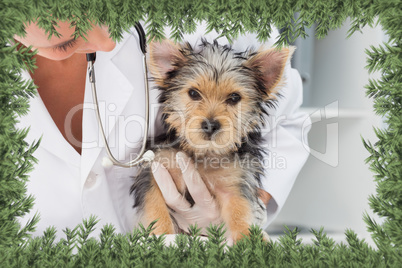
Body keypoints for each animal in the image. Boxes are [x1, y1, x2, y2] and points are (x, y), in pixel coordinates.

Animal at [132, 38, 296, 242]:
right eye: (193, 93)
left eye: (234, 97)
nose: (210, 125)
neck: (204, 152)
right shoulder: (154, 171)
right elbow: (155, 208)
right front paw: (161, 237)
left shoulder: (234, 181)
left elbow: (240, 210)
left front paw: (249, 240)